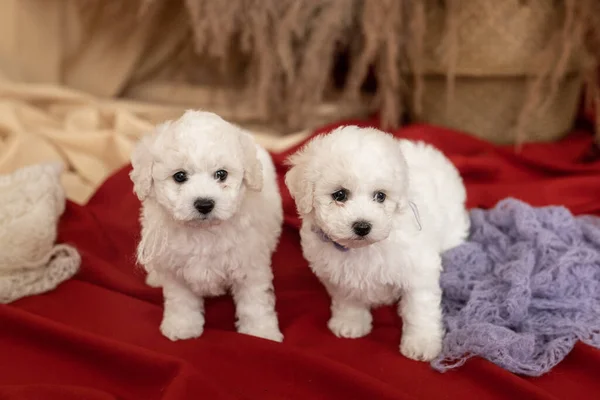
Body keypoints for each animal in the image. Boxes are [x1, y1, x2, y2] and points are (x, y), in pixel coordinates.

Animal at [131, 111, 284, 342]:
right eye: (179, 176)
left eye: (221, 174)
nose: (204, 204)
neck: (203, 232)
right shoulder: (176, 271)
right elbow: (181, 301)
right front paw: (182, 327)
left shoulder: (250, 264)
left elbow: (254, 303)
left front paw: (261, 333)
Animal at [284, 125, 472, 360]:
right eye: (339, 195)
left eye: (380, 196)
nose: (363, 226)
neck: (364, 248)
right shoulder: (338, 275)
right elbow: (348, 299)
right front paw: (350, 323)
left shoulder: (419, 271)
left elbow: (420, 309)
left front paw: (422, 343)